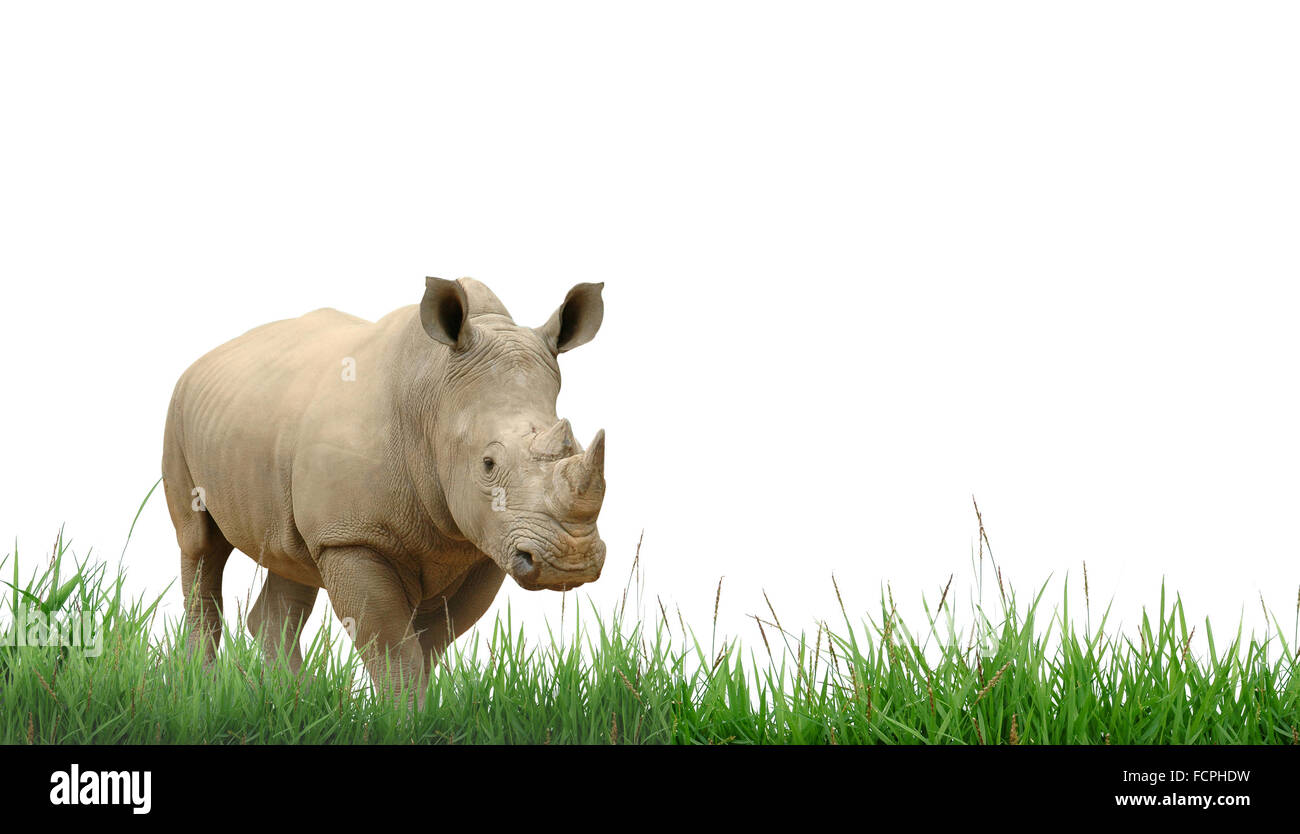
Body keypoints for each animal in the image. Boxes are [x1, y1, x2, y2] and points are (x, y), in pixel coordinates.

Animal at [161, 277, 607, 704]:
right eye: (488, 464)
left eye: (577, 447)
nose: (570, 561)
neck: (434, 400)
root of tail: (205, 358)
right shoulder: (352, 537)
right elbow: (393, 649)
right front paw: (404, 718)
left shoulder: (485, 542)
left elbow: (428, 645)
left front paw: (424, 716)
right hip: (178, 415)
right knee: (200, 546)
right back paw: (202, 691)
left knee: (290, 560)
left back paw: (293, 701)